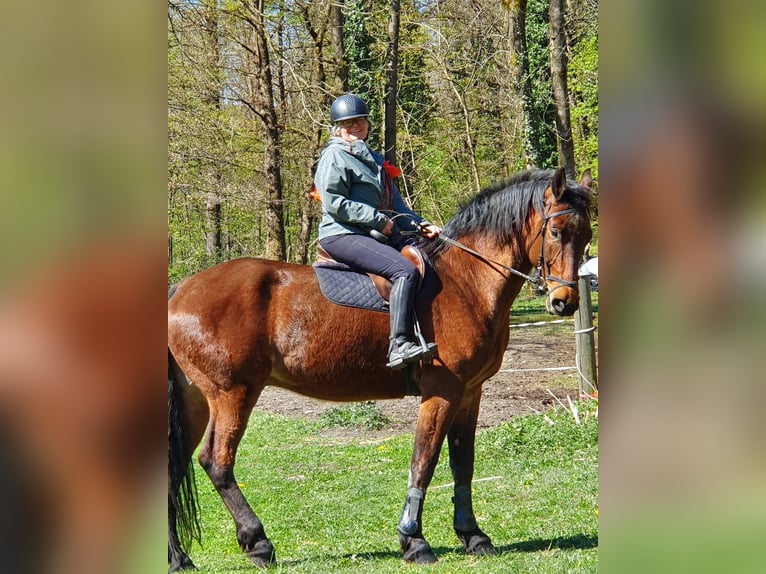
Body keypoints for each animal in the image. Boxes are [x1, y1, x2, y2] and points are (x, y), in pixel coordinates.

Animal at [167, 167, 593, 570]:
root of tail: (180, 289)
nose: (565, 301)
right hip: (233, 394)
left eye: (587, 234)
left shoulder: (471, 392)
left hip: (196, 401)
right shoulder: (443, 391)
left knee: (172, 469)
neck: (465, 282)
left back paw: (179, 558)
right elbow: (423, 461)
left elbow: (463, 465)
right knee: (217, 463)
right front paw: (413, 540)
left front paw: (473, 536)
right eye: (556, 231)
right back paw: (257, 543)